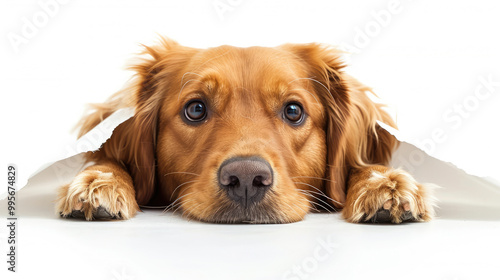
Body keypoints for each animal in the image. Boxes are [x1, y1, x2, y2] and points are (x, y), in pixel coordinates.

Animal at [56, 37, 436, 225]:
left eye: (294, 111)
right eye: (195, 109)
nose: (246, 179)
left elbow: (364, 167)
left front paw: (383, 183)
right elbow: (109, 162)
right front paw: (100, 181)